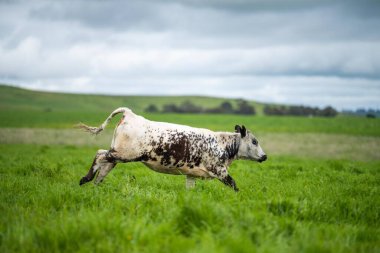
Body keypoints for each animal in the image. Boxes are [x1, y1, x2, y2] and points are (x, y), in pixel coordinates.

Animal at [76, 107, 268, 192]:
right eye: (255, 141)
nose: (265, 156)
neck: (221, 144)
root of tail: (130, 114)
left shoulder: (191, 174)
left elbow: (190, 190)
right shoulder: (219, 170)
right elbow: (234, 185)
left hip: (118, 154)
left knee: (105, 165)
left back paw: (95, 185)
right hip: (125, 154)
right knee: (100, 155)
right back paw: (86, 178)